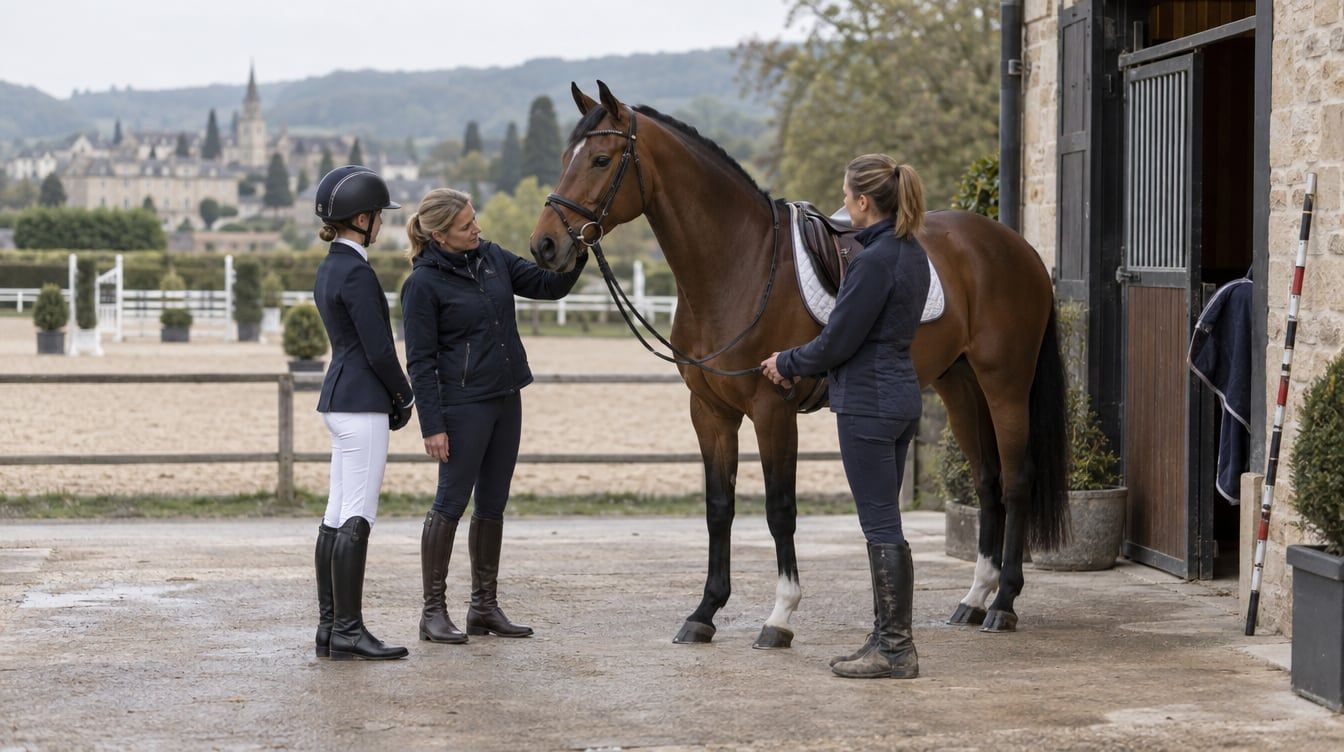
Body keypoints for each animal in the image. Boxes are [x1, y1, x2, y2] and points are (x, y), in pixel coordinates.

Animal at [528, 81, 1069, 647]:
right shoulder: (710, 412)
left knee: (1016, 479)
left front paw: (780, 615)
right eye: (566, 158)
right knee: (987, 480)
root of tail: (1018, 248)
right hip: (958, 384)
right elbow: (719, 508)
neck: (740, 265)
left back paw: (1003, 603)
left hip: (1005, 384)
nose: (545, 245)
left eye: (601, 159)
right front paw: (704, 612)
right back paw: (974, 597)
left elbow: (779, 510)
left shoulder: (772, 409)